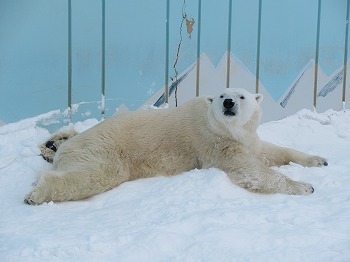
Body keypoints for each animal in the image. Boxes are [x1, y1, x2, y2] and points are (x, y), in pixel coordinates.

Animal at [25, 88, 328, 205]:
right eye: (222, 95)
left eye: (241, 96)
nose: (229, 103)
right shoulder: (213, 141)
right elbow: (250, 171)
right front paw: (306, 186)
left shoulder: (245, 139)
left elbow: (269, 151)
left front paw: (319, 160)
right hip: (104, 149)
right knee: (96, 174)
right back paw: (36, 192)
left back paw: (52, 144)